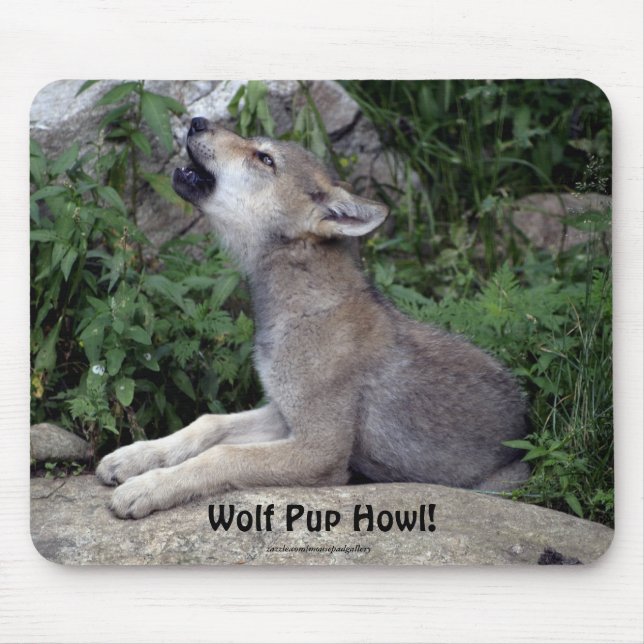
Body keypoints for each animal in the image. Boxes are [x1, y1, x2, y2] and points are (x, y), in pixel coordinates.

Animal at [96, 117, 530, 519]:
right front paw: (134, 457)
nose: (198, 121)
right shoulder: (282, 412)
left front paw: (148, 487)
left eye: (265, 158)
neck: (302, 310)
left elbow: (224, 454)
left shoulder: (318, 449)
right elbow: (208, 423)